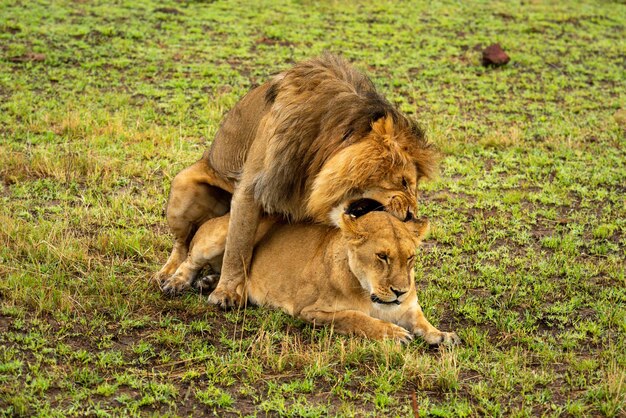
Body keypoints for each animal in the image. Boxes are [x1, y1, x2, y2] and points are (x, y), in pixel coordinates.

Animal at [156, 54, 436, 308]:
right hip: (182, 188)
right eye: (403, 182)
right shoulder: (252, 188)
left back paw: (206, 279)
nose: (411, 215)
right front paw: (226, 293)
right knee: (184, 244)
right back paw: (171, 276)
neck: (319, 149)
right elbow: (238, 245)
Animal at [158, 212, 456, 346]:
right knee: (190, 260)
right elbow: (355, 317)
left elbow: (421, 320)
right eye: (382, 256)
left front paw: (441, 335)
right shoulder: (311, 311)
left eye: (410, 258)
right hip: (224, 236)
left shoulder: (409, 307)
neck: (369, 291)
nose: (400, 291)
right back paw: (176, 283)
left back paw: (211, 284)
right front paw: (392, 333)